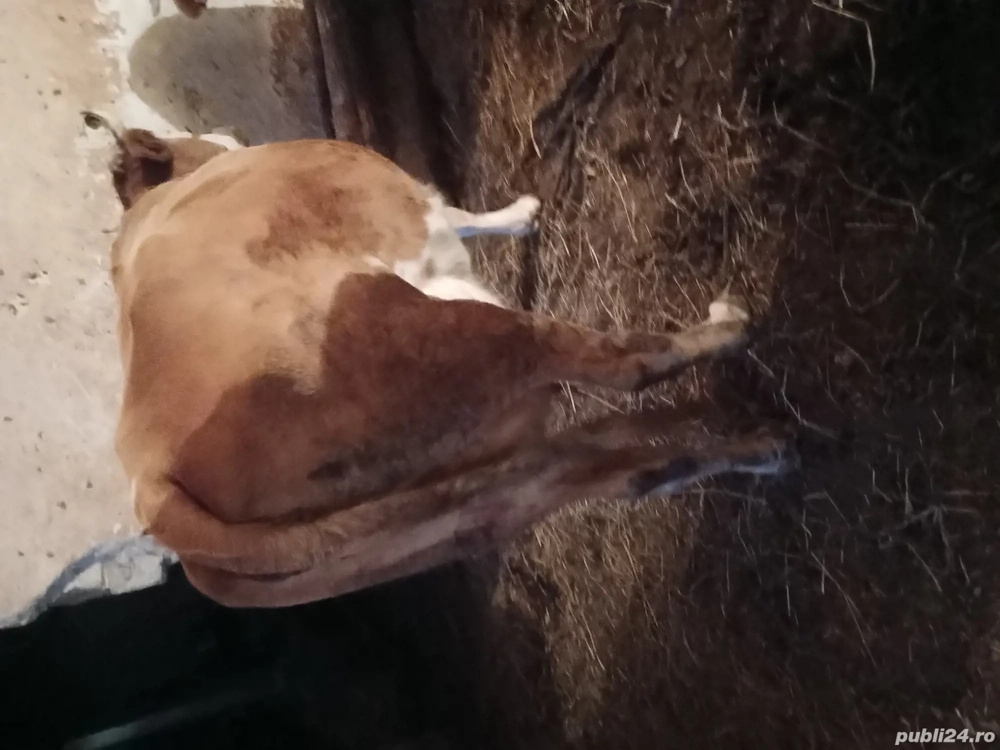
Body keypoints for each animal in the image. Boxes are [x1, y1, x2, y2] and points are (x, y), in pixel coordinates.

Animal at [101, 122, 794, 608]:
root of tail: (157, 486)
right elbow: (453, 214)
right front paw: (519, 215)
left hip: (451, 506)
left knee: (613, 469)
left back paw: (755, 447)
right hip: (460, 343)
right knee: (624, 370)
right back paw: (733, 341)